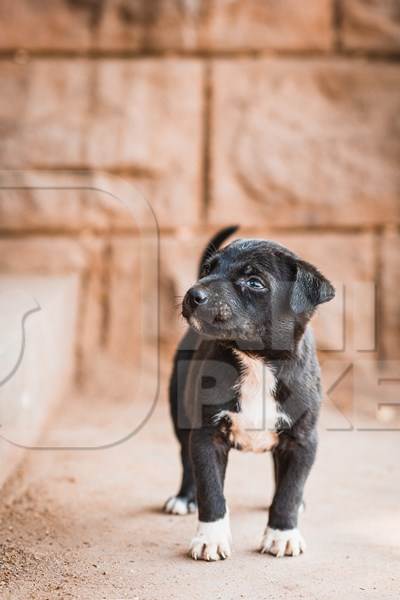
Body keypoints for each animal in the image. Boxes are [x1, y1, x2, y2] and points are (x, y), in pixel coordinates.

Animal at [163, 227, 334, 560]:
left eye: (254, 282)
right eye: (209, 269)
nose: (192, 294)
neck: (257, 362)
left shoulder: (303, 439)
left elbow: (290, 489)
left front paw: (283, 533)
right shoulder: (206, 436)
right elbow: (211, 490)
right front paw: (211, 537)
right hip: (180, 413)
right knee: (185, 459)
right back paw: (184, 497)